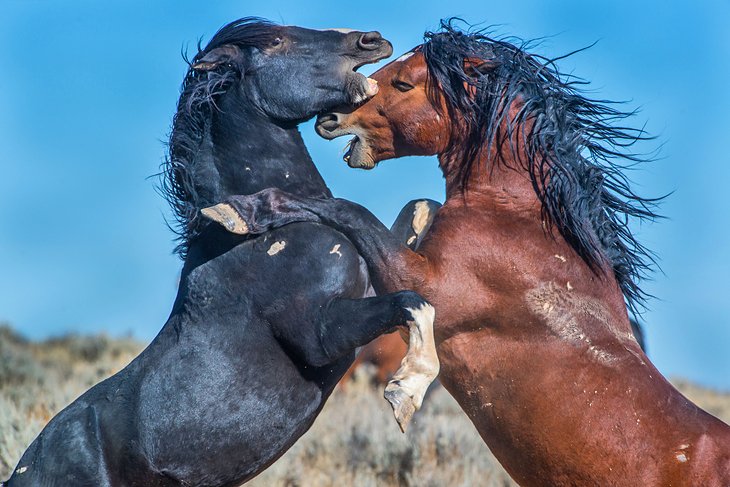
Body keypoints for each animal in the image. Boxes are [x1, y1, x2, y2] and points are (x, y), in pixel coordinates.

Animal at [4, 18, 438, 487]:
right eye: (277, 40)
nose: (372, 40)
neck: (259, 247)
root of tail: (24, 470)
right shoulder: (320, 335)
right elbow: (411, 302)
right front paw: (405, 393)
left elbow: (406, 222)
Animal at [202, 21, 728, 484]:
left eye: (403, 81)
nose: (328, 119)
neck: (521, 223)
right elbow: (414, 207)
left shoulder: (428, 285)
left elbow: (346, 209)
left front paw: (240, 210)